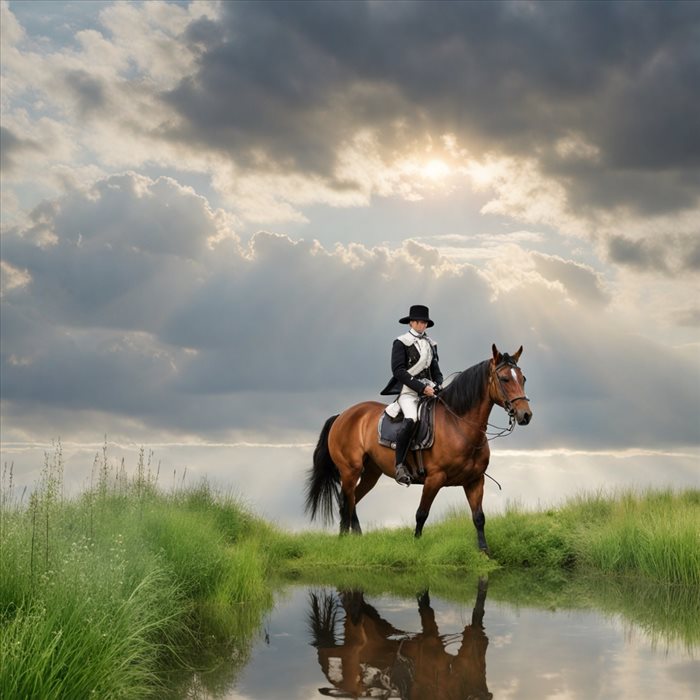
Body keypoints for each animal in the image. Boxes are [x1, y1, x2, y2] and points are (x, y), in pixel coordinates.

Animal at [304, 344, 532, 552]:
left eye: (523, 378)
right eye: (504, 379)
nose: (525, 415)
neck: (459, 425)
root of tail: (342, 415)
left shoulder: (475, 480)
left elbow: (478, 517)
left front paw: (484, 552)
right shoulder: (434, 479)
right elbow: (421, 514)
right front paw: (416, 546)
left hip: (370, 473)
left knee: (353, 500)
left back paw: (357, 539)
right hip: (350, 471)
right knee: (346, 502)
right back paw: (343, 540)